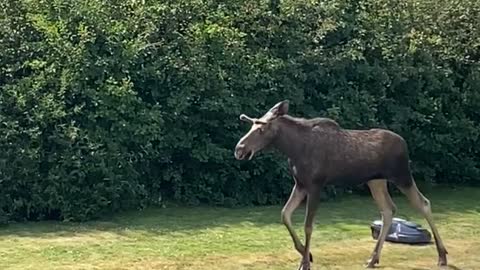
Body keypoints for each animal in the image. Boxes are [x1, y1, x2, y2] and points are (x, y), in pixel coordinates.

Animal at [234, 100, 448, 268]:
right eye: (251, 126)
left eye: (261, 129)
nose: (239, 149)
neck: (292, 149)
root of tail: (405, 143)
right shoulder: (300, 184)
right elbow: (285, 214)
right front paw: (307, 254)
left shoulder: (315, 185)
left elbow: (308, 225)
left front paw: (305, 262)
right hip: (376, 181)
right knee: (388, 210)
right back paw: (373, 259)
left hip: (402, 176)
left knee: (423, 203)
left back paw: (442, 255)